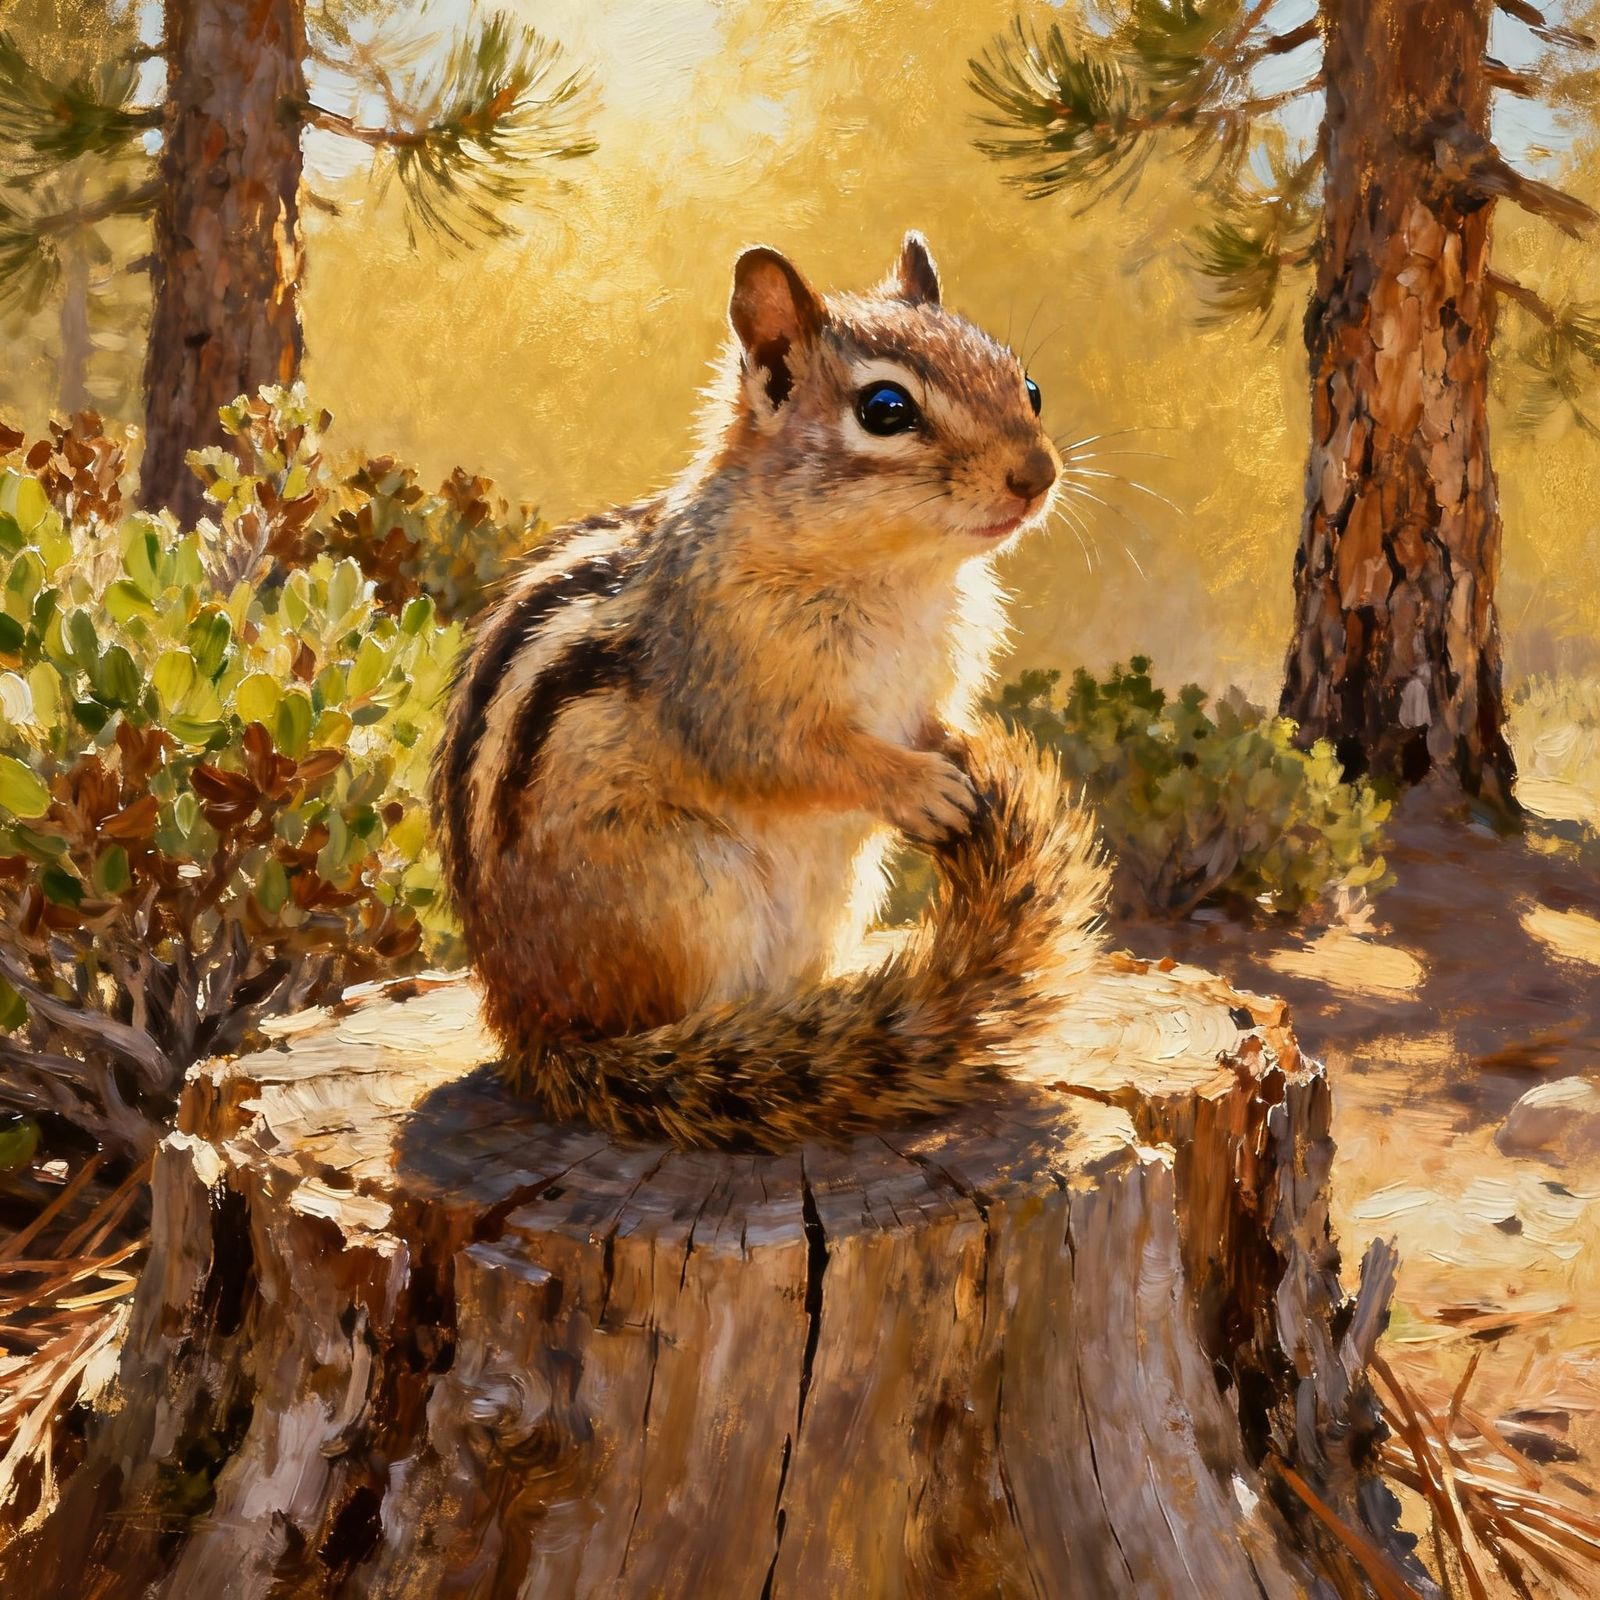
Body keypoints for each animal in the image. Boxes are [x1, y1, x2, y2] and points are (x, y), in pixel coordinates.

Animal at [432, 232, 1106, 1151]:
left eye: (1028, 387)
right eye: (886, 409)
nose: (1035, 476)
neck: (895, 577)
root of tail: (528, 1027)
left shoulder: (925, 689)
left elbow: (929, 725)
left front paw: (956, 751)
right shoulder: (726, 690)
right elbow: (799, 758)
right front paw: (918, 785)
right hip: (686, 890)